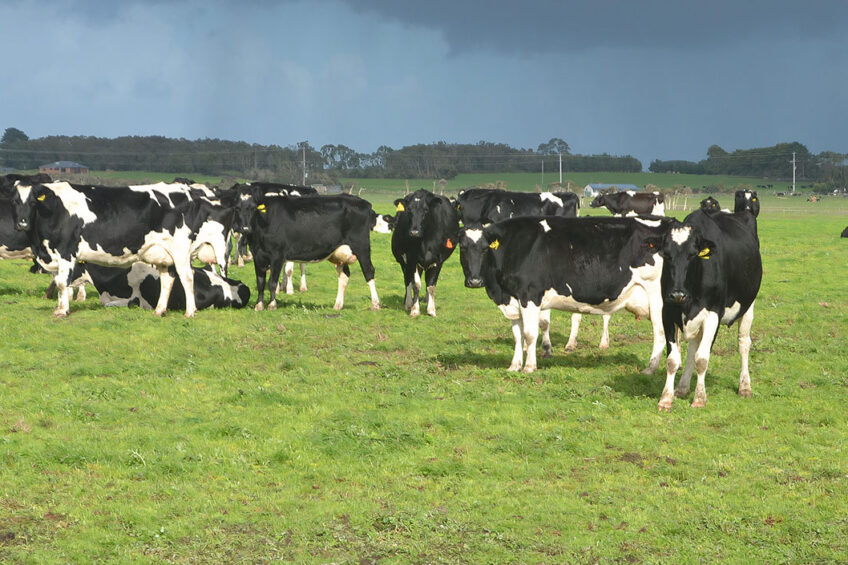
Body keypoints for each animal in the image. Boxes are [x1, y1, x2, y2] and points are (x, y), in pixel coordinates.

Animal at [8, 180, 237, 316]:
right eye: (14, 201)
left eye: (33, 202)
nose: (22, 223)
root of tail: (189, 191)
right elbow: (58, 283)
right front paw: (59, 306)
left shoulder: (66, 251)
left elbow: (63, 284)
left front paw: (62, 311)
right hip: (163, 254)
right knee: (168, 279)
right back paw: (159, 310)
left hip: (180, 250)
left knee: (187, 277)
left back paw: (190, 312)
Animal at [232, 189, 390, 312]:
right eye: (237, 208)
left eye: (254, 209)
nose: (245, 228)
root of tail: (365, 203)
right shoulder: (258, 256)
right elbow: (260, 282)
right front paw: (259, 305)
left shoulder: (277, 255)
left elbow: (272, 282)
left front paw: (272, 305)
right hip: (340, 252)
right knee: (344, 276)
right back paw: (337, 305)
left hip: (361, 247)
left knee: (369, 272)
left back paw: (375, 304)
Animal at [458, 216, 668, 374]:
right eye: (462, 247)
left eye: (485, 248)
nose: (475, 281)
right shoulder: (514, 299)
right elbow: (518, 336)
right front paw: (514, 366)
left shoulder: (530, 296)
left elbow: (530, 334)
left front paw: (529, 367)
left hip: (658, 301)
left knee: (660, 334)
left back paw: (650, 370)